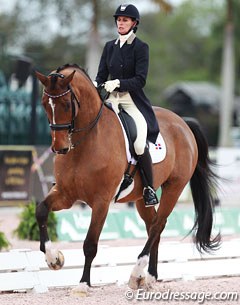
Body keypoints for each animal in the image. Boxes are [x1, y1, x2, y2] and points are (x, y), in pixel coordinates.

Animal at [34, 63, 220, 292]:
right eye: (45, 104)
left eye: (67, 104)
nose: (60, 148)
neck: (86, 141)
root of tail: (182, 122)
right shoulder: (65, 194)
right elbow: (41, 210)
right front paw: (54, 259)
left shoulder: (101, 201)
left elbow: (90, 244)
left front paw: (83, 284)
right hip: (142, 197)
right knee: (153, 227)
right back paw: (149, 277)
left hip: (174, 188)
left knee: (158, 225)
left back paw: (136, 274)